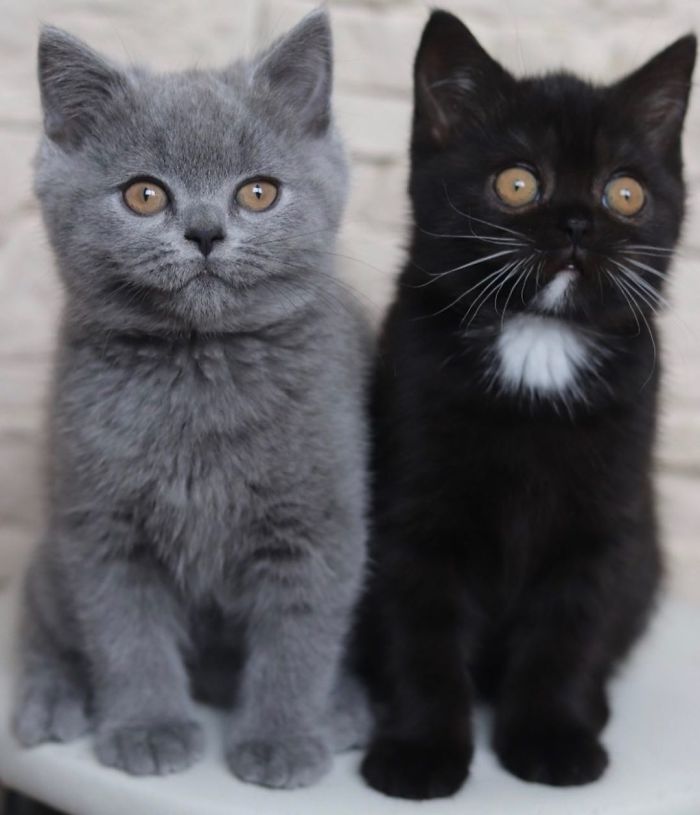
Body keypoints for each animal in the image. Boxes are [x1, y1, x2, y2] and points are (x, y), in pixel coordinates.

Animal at [13, 9, 372, 792]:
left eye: (258, 192)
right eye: (144, 194)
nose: (205, 231)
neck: (201, 368)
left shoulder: (316, 524)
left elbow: (299, 638)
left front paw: (282, 738)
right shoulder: (101, 525)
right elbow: (126, 634)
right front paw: (148, 728)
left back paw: (341, 710)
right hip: (51, 548)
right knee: (38, 613)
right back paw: (50, 695)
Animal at [356, 11, 696, 804]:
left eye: (624, 193)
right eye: (517, 183)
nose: (575, 223)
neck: (538, 341)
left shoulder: (604, 520)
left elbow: (567, 633)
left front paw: (553, 738)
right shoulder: (411, 511)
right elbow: (421, 634)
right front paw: (419, 751)